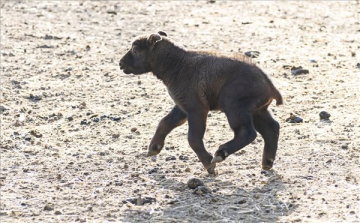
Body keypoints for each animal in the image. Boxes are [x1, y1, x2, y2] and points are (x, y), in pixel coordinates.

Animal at [119, 31, 282, 174]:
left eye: (136, 50)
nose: (121, 64)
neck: (176, 64)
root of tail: (270, 85)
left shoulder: (196, 108)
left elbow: (193, 138)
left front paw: (209, 165)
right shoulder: (182, 107)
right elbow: (165, 122)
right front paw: (154, 148)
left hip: (235, 107)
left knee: (247, 132)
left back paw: (220, 153)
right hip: (257, 110)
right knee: (272, 128)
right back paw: (267, 162)